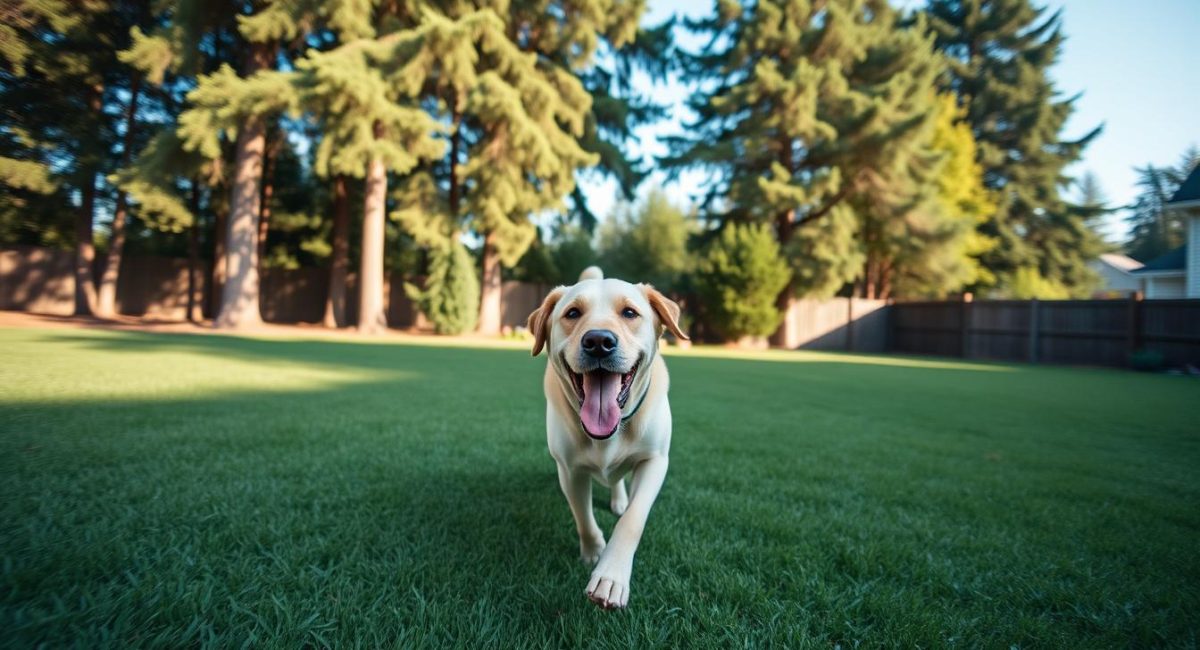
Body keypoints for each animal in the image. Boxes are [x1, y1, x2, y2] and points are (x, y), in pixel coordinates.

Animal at [528, 266, 691, 611]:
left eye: (629, 313)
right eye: (572, 313)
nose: (599, 341)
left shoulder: (655, 461)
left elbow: (633, 521)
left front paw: (611, 576)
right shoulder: (569, 470)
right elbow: (583, 516)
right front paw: (593, 552)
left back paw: (618, 499)